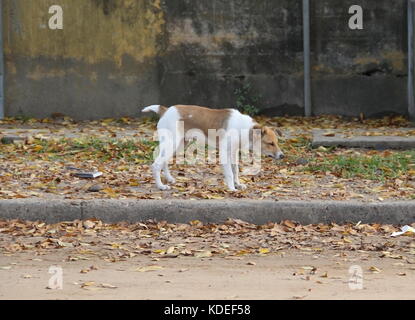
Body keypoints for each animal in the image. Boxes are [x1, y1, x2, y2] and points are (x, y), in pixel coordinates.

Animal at [141, 104, 284, 190]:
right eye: (270, 143)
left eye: (276, 142)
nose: (282, 156)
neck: (243, 128)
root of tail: (165, 110)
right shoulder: (224, 154)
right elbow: (230, 173)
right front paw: (232, 189)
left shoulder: (233, 153)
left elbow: (235, 171)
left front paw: (238, 184)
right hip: (172, 143)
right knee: (156, 165)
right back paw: (161, 186)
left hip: (179, 145)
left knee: (164, 162)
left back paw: (169, 179)